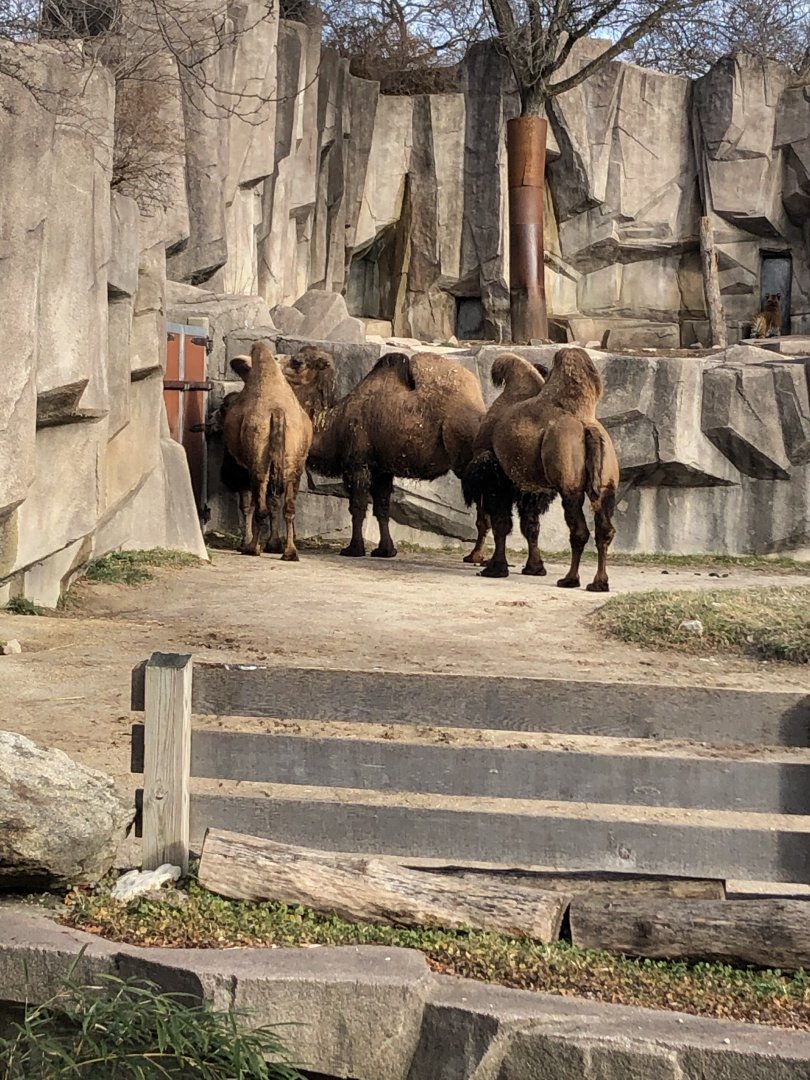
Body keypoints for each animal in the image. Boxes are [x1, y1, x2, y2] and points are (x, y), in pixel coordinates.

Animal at [222, 341, 312, 560]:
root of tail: (277, 412)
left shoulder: (245, 467)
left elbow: (250, 506)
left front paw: (249, 543)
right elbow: (275, 503)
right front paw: (274, 544)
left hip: (258, 465)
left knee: (260, 507)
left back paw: (252, 548)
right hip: (294, 465)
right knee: (288, 508)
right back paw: (290, 552)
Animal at [282, 349, 490, 562]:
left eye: (297, 362)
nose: (276, 359)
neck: (334, 424)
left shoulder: (358, 464)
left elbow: (357, 507)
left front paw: (353, 549)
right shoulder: (381, 470)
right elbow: (382, 509)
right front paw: (386, 550)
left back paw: (476, 556)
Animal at [463, 346, 620, 591]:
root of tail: (587, 427)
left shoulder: (495, 474)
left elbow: (501, 523)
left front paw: (496, 569)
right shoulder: (532, 487)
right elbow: (530, 525)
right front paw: (534, 568)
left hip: (569, 483)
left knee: (579, 530)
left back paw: (569, 579)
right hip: (607, 483)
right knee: (604, 529)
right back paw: (598, 583)